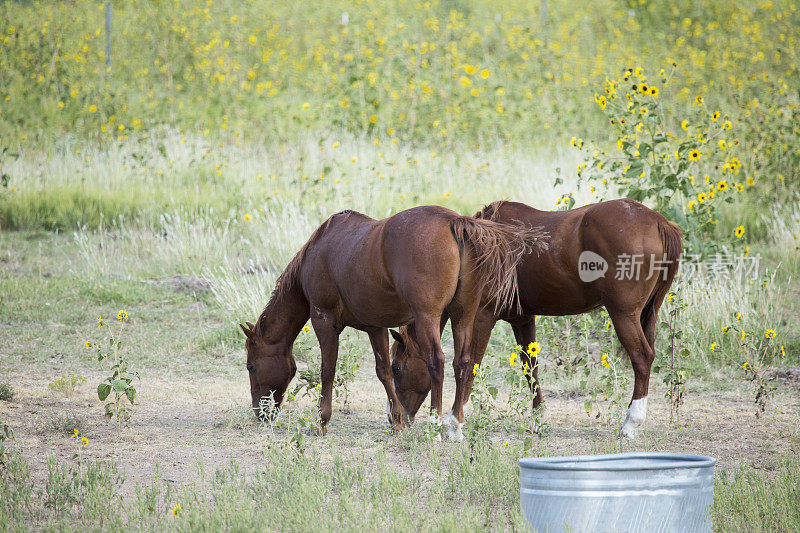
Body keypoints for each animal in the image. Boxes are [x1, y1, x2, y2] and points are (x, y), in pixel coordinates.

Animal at [241, 206, 548, 434]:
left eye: (251, 366)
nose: (260, 413)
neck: (319, 252)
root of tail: (454, 222)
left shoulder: (323, 321)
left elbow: (327, 371)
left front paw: (321, 422)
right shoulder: (375, 327)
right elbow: (384, 372)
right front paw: (398, 421)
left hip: (428, 318)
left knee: (437, 361)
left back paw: (435, 423)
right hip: (463, 315)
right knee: (463, 362)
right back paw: (455, 425)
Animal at [390, 197, 680, 438]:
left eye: (397, 368)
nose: (398, 419)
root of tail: (658, 221)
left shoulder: (482, 317)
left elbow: (471, 364)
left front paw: (453, 423)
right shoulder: (523, 320)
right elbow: (531, 368)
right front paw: (538, 419)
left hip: (624, 315)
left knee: (642, 358)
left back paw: (632, 422)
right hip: (646, 315)